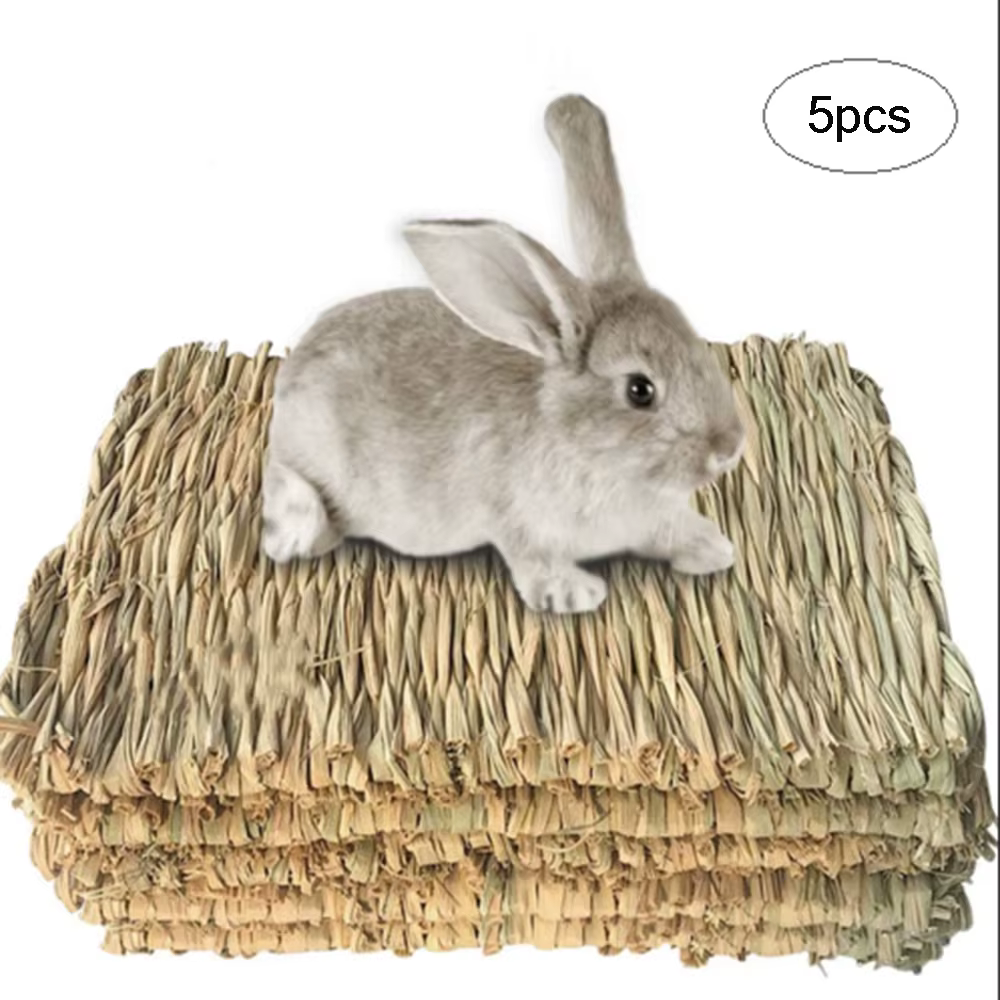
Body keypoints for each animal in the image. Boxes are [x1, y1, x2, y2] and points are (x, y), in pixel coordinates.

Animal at [262, 94, 745, 614]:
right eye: (640, 390)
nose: (729, 447)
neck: (583, 447)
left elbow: (671, 530)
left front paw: (712, 547)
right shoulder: (519, 523)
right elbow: (533, 558)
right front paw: (573, 593)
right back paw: (295, 533)